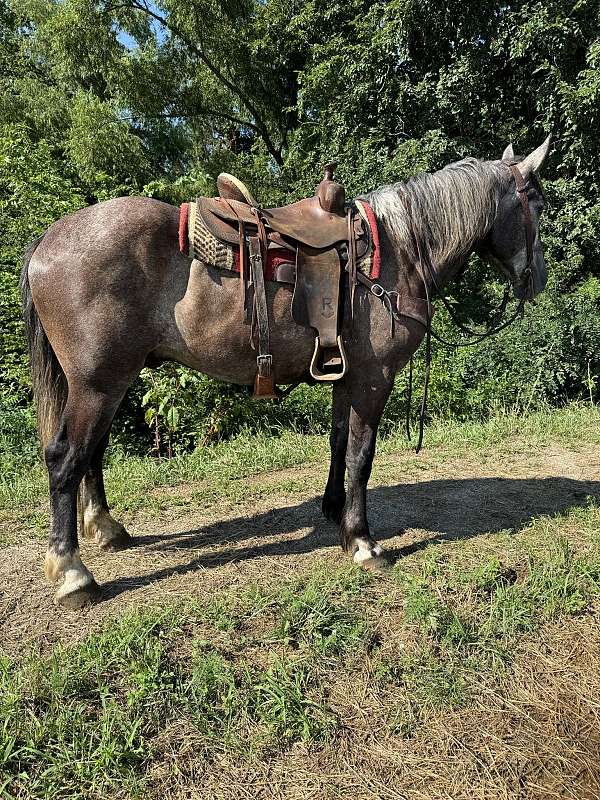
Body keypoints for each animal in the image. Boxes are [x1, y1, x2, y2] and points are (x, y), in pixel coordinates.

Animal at [21, 138, 552, 608]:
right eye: (538, 204)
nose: (541, 281)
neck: (400, 252)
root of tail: (48, 239)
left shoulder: (346, 376)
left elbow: (339, 442)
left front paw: (336, 511)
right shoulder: (373, 379)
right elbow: (362, 455)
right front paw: (363, 542)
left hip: (108, 383)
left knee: (93, 453)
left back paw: (107, 529)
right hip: (97, 383)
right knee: (66, 457)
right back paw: (72, 572)